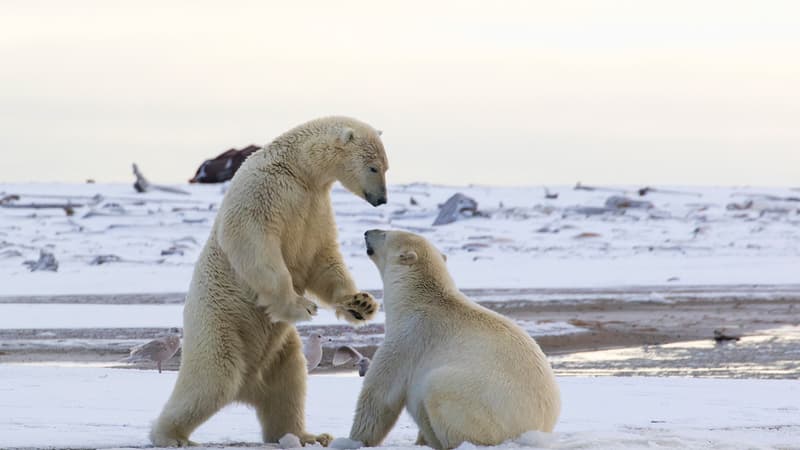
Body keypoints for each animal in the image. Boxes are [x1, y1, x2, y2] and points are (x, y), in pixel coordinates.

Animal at [152, 116, 390, 446]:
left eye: (386, 166)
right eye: (373, 167)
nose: (382, 199)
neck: (299, 169)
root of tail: (247, 388)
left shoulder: (315, 205)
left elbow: (322, 258)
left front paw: (360, 304)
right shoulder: (264, 191)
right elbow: (256, 243)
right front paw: (302, 306)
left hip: (281, 350)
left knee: (289, 385)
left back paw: (306, 435)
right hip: (219, 326)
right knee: (212, 380)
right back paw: (171, 435)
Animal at [340, 230, 560, 448]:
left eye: (385, 233)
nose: (367, 232)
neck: (415, 300)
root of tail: (537, 429)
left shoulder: (410, 336)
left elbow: (380, 394)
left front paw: (351, 440)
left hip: (483, 405)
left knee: (436, 388)